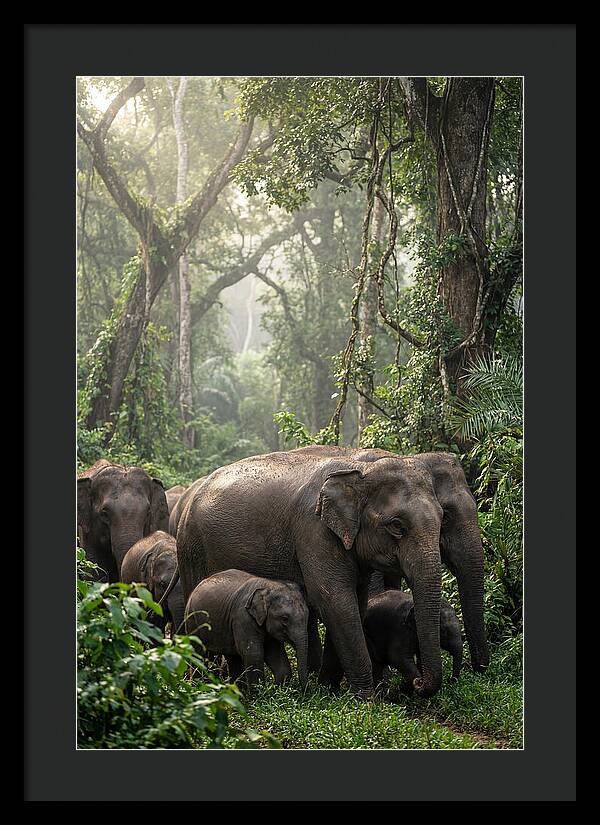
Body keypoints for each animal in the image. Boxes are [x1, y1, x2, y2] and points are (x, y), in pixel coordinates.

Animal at [176, 447, 448, 699]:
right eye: (397, 526)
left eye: (443, 519)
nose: (418, 683)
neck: (361, 470)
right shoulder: (314, 531)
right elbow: (335, 600)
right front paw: (365, 699)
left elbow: (354, 602)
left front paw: (328, 689)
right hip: (191, 549)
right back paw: (205, 680)